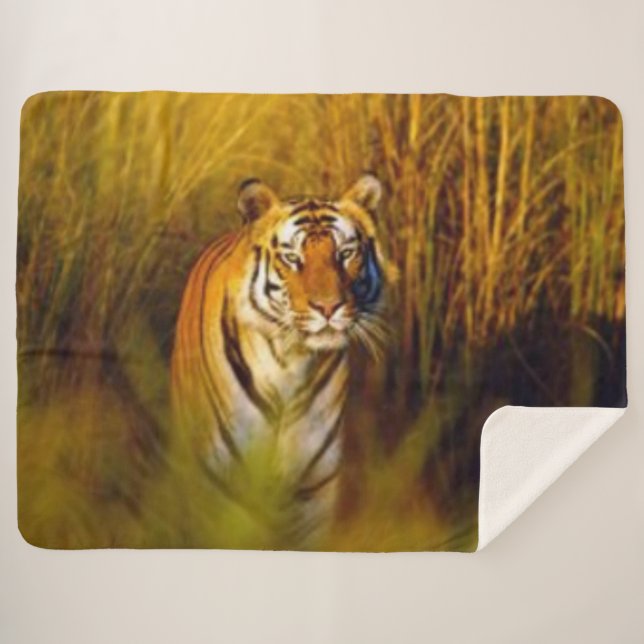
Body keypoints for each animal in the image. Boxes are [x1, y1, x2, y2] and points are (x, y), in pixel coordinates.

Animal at [170, 174, 395, 539]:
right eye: (292, 258)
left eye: (346, 254)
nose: (329, 307)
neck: (291, 362)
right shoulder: (220, 482)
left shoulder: (313, 489)